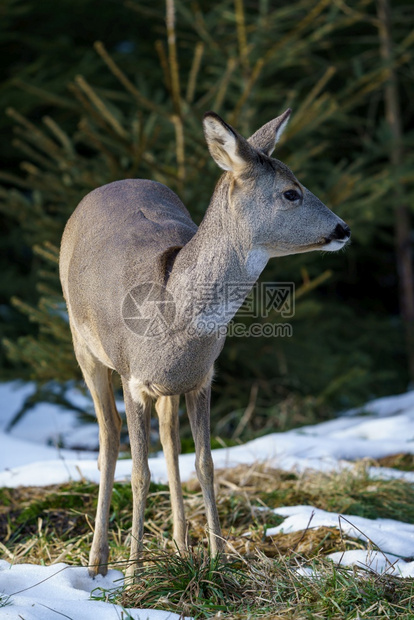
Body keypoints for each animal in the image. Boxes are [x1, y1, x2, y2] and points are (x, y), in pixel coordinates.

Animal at [58, 109, 350, 580]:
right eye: (291, 192)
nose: (344, 228)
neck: (173, 313)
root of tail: (114, 182)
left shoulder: (201, 377)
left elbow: (206, 464)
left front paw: (219, 561)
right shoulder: (133, 378)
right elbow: (139, 473)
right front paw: (134, 576)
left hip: (167, 387)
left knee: (168, 440)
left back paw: (180, 546)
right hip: (82, 343)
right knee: (108, 436)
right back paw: (98, 561)